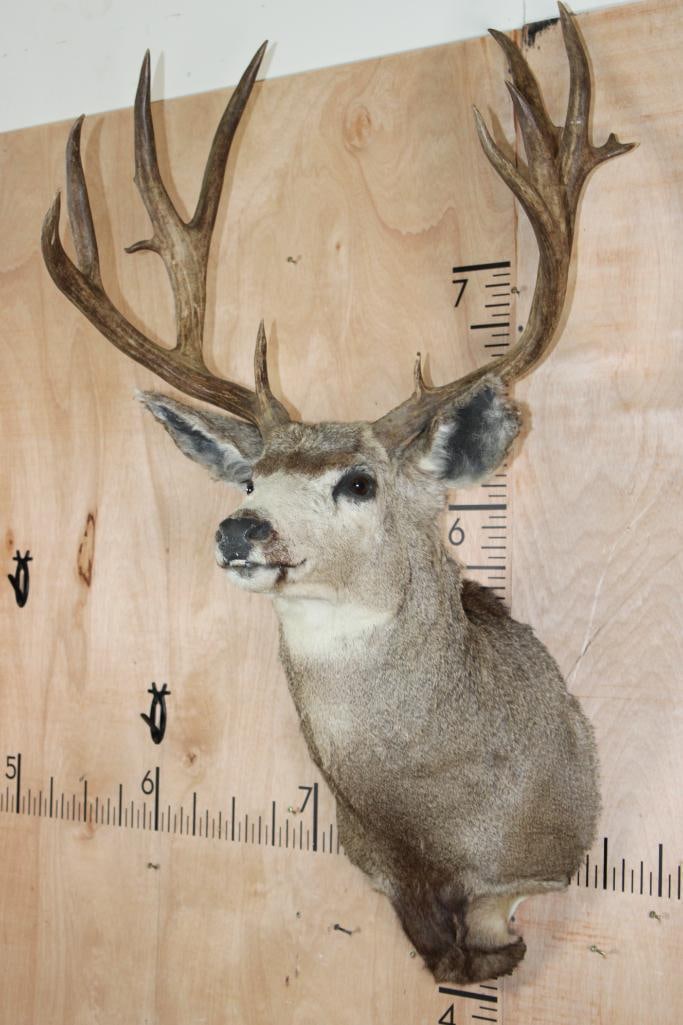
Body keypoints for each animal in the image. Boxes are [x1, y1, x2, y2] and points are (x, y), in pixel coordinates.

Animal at [41, 4, 633, 984]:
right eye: (250, 475)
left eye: (358, 480)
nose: (239, 527)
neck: (437, 831)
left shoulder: (530, 865)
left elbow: (500, 919)